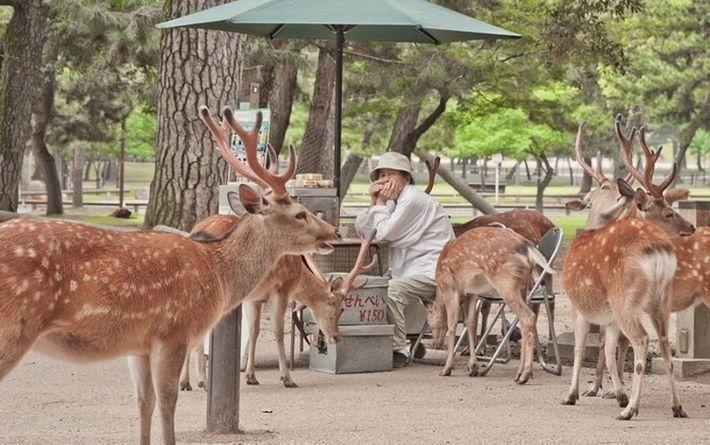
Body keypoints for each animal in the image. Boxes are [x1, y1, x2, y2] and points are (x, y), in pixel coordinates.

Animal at [0, 105, 342, 444]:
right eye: (300, 213)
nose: (334, 232)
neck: (217, 273)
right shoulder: (175, 330)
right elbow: (167, 402)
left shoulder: (138, 344)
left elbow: (144, 402)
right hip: (13, 328)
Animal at [428, 227, 552, 384]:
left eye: (429, 321)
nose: (435, 345)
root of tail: (529, 249)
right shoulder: (472, 293)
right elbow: (470, 323)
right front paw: (473, 367)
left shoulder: (450, 287)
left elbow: (452, 325)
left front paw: (447, 368)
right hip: (522, 286)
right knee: (524, 320)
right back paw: (519, 373)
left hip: (506, 283)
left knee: (528, 316)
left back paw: (525, 375)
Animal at [560, 119, 688, 418]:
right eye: (668, 212)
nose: (691, 227)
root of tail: (658, 251)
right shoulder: (608, 317)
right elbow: (607, 350)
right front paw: (613, 392)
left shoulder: (577, 304)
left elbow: (581, 349)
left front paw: (573, 394)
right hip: (661, 301)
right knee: (663, 344)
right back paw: (676, 406)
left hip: (625, 299)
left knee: (641, 340)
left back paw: (630, 409)